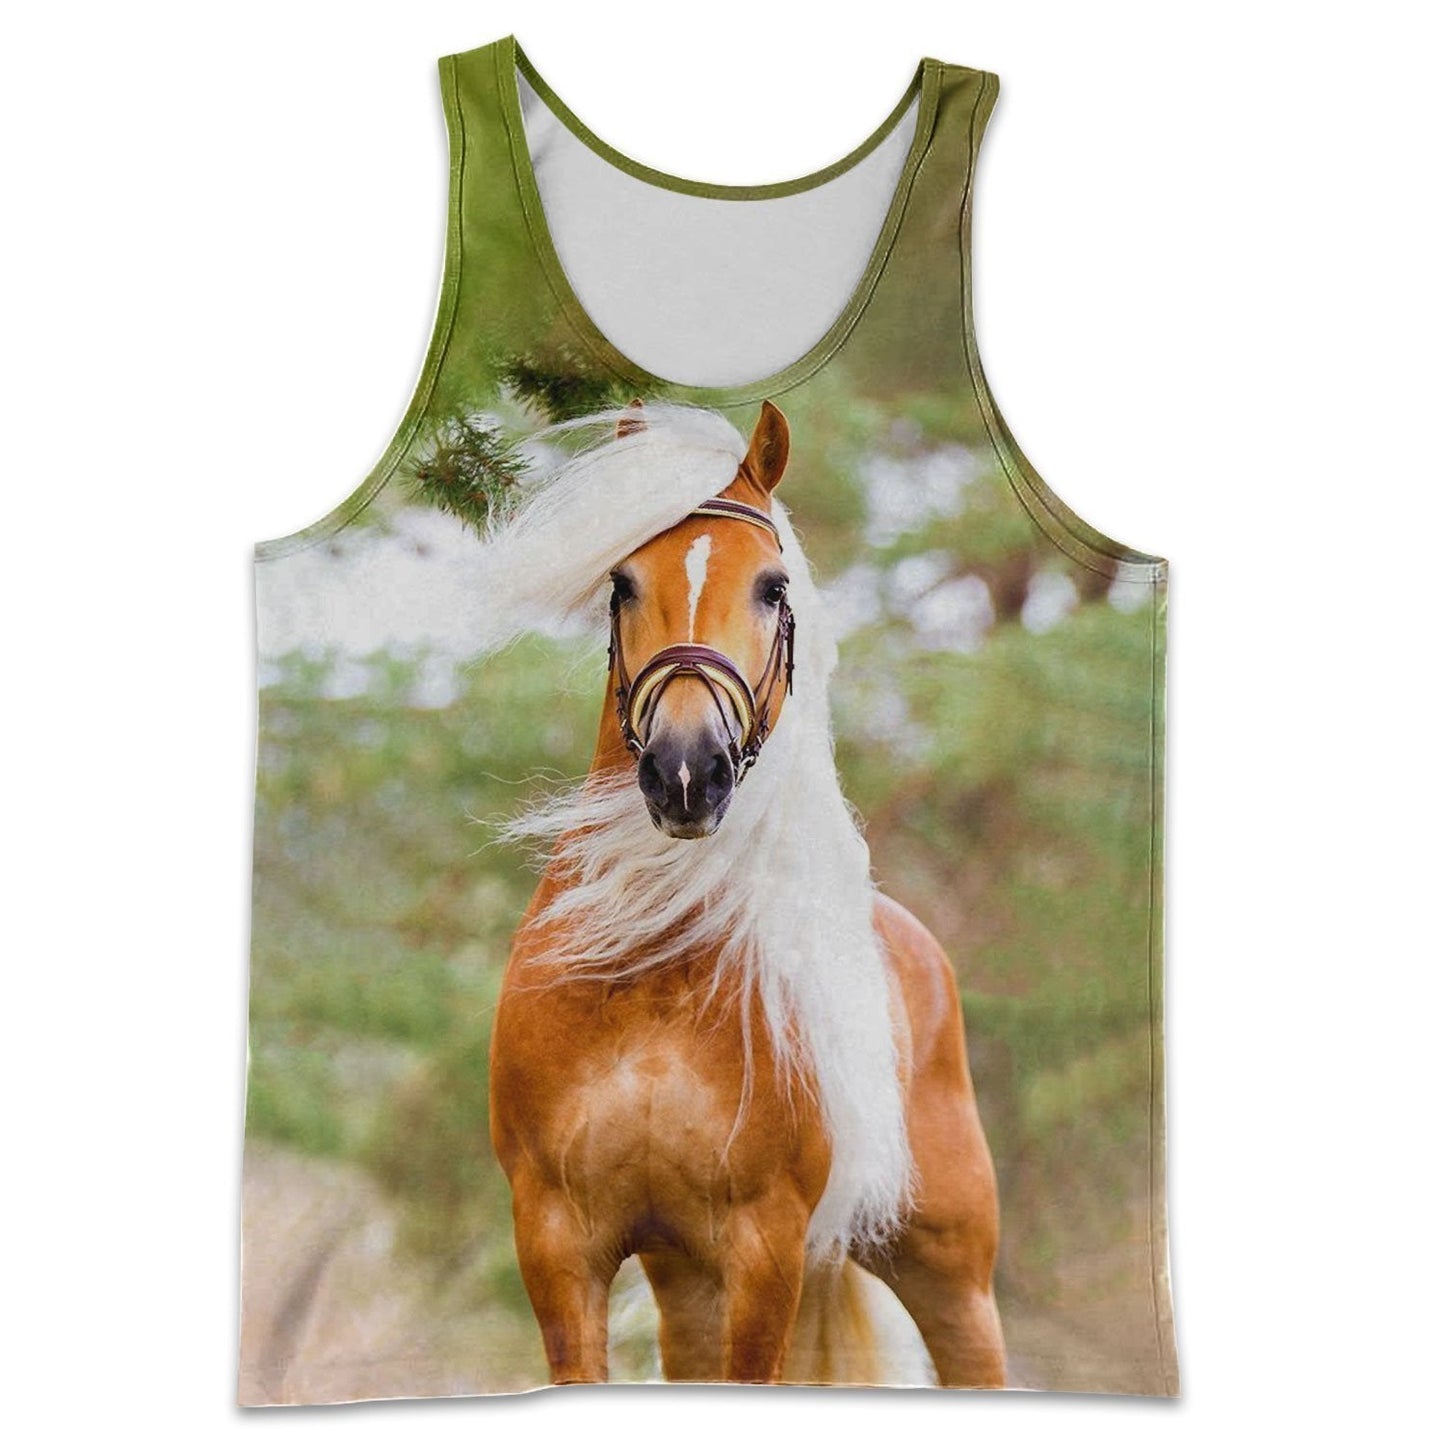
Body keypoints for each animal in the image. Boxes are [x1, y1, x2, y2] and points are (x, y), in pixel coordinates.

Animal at [485, 398, 1005, 1386]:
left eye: (771, 587)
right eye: (622, 583)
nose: (687, 773)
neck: (651, 970)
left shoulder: (763, 1246)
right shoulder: (560, 1242)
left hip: (950, 1276)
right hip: (686, 1281)